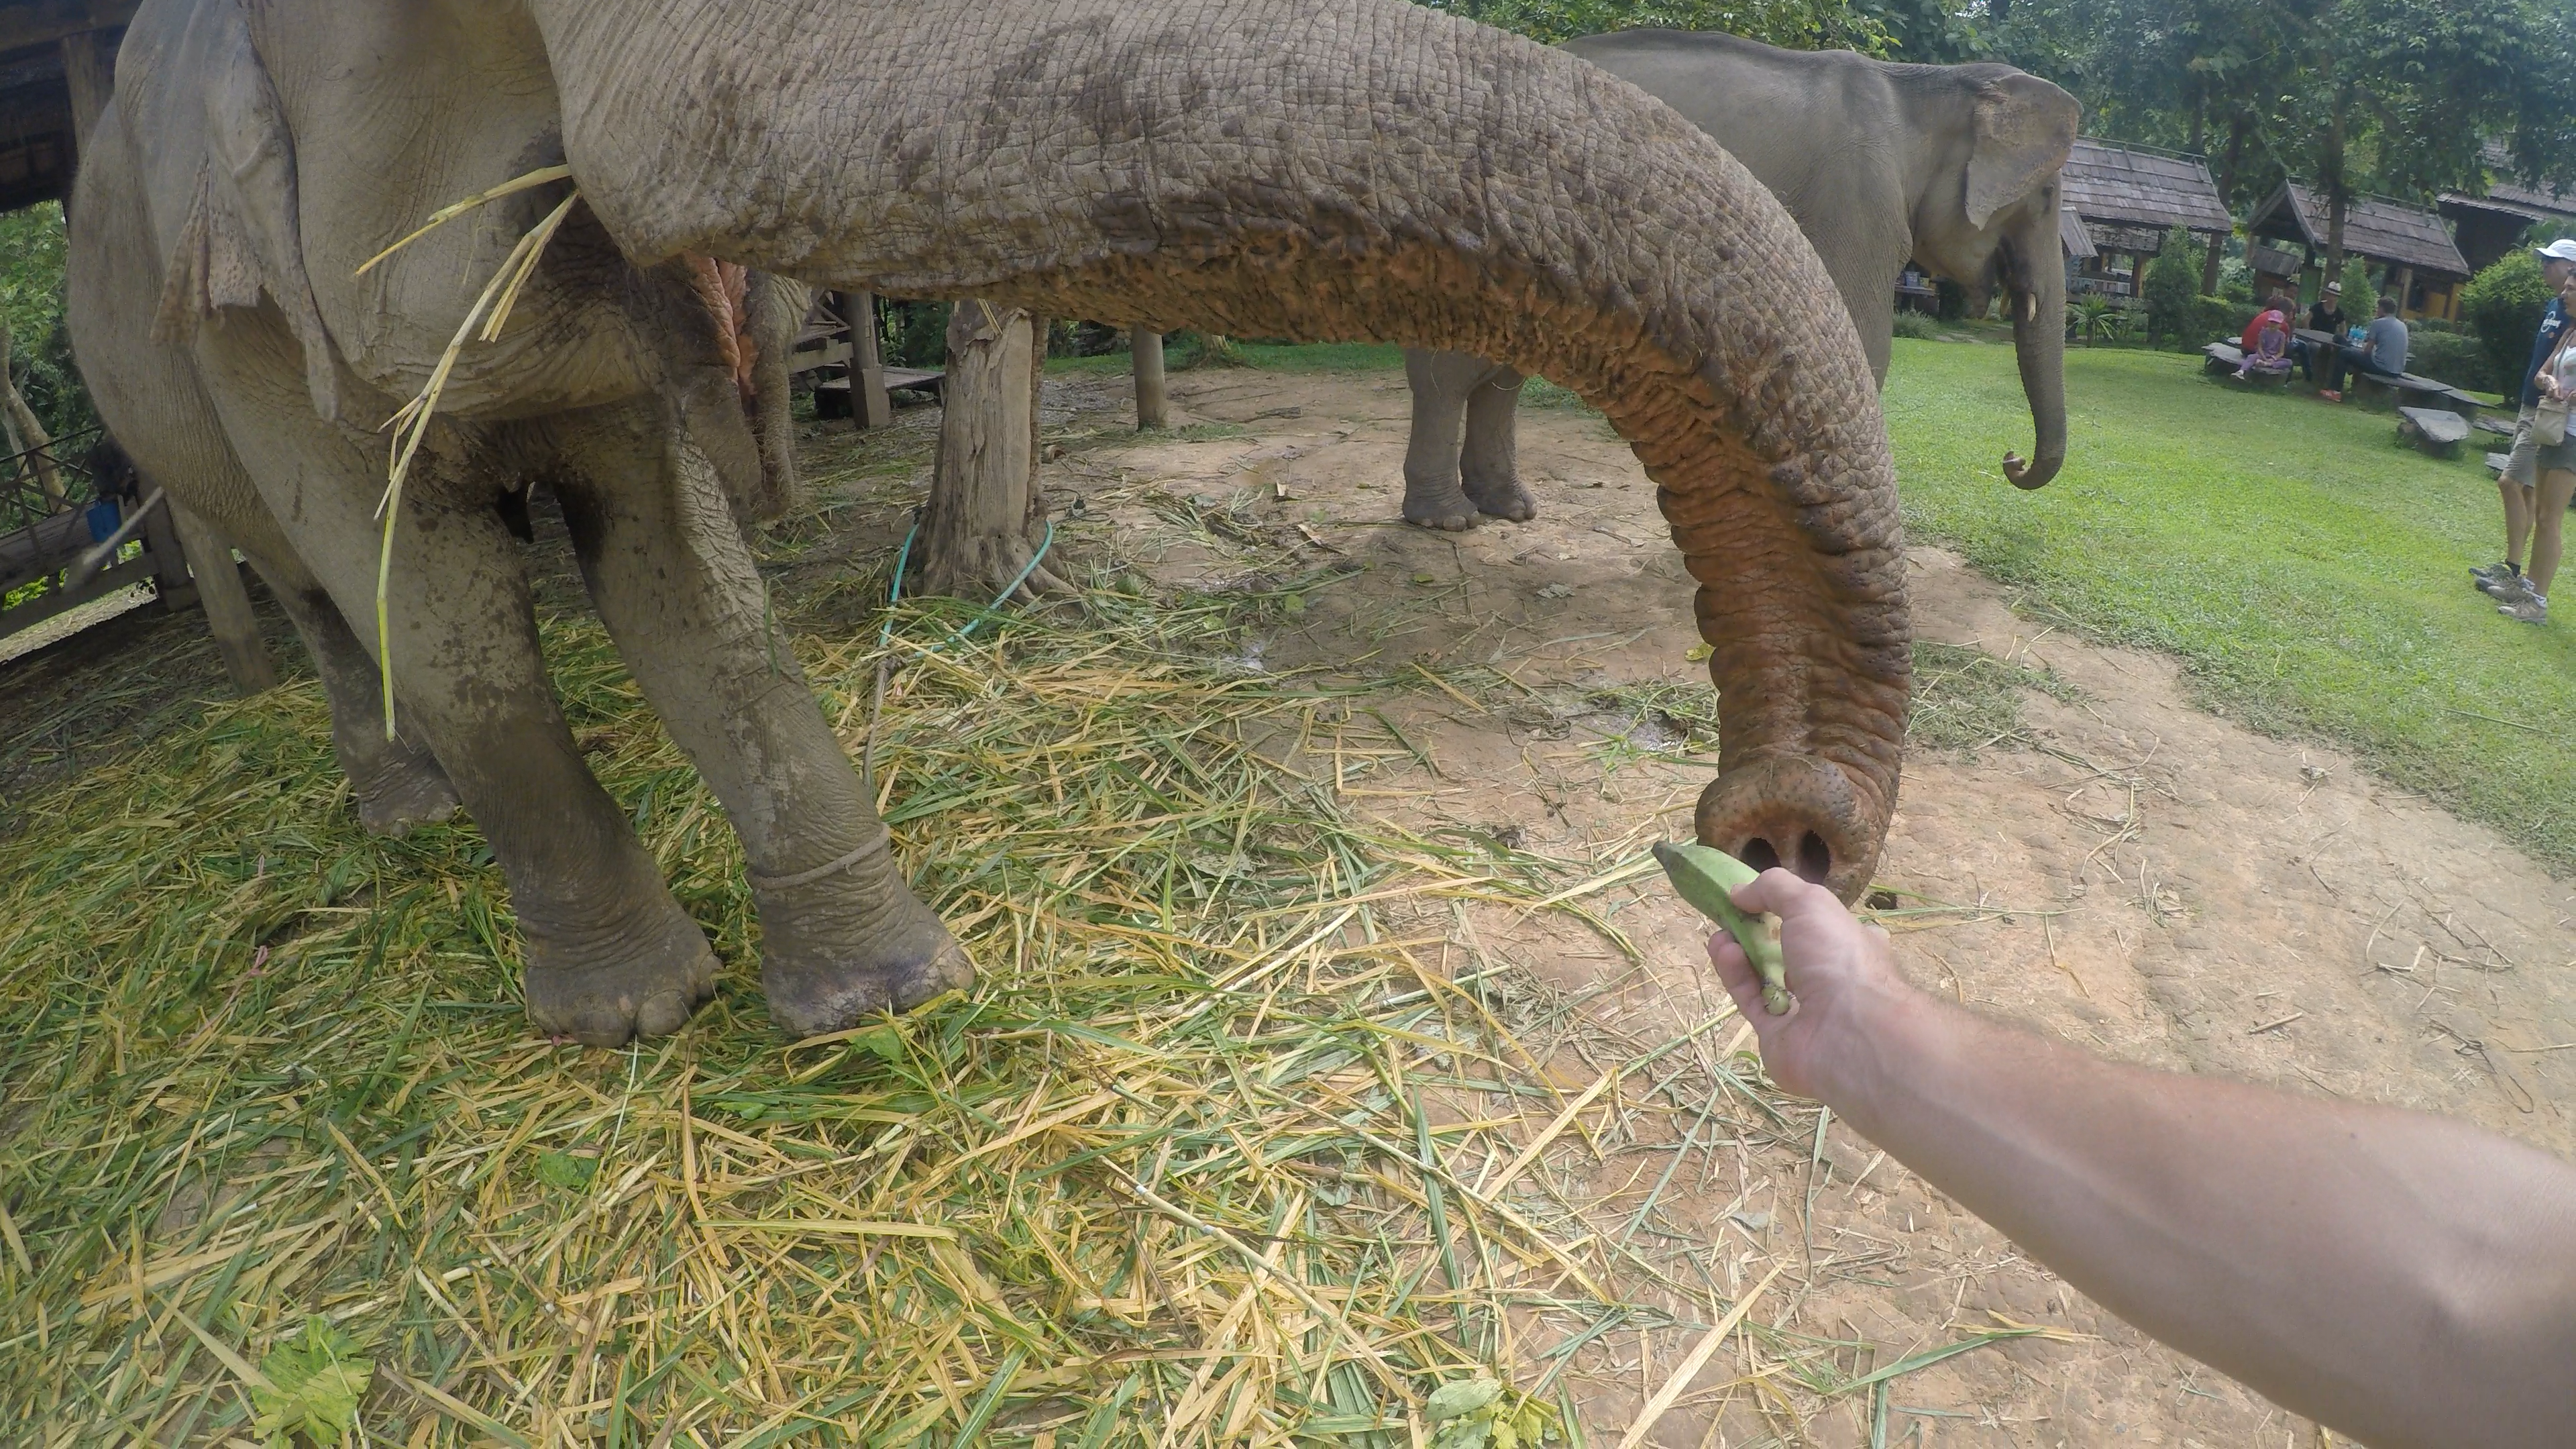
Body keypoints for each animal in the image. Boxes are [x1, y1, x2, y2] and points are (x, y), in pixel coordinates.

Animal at [65, 0, 1916, 1041]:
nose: (1778, 837)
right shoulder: (249, 316)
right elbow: (447, 622)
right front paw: (632, 1019)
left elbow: (680, 574)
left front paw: (881, 1002)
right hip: (147, 394)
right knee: (318, 599)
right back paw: (403, 808)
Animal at [1401, 30, 2081, 531]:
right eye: (2047, 197)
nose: (2011, 457)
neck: (1922, 82)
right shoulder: (1857, 200)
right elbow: (1859, 346)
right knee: (1456, 364)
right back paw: (1447, 520)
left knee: (1507, 368)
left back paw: (1509, 509)